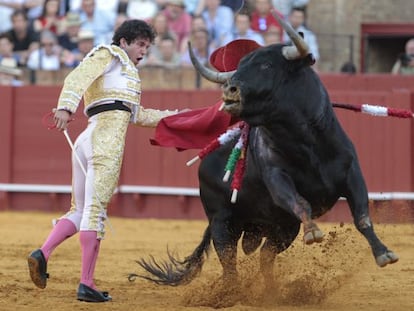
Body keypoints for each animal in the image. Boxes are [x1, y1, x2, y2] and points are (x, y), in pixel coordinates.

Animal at [133, 32, 398, 290]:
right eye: (240, 67)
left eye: (267, 65)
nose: (229, 90)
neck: (306, 143)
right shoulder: (276, 178)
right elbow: (300, 202)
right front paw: (313, 231)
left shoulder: (352, 174)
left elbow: (362, 216)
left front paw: (383, 254)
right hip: (222, 222)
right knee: (230, 264)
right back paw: (231, 293)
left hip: (284, 228)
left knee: (264, 257)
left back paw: (273, 293)